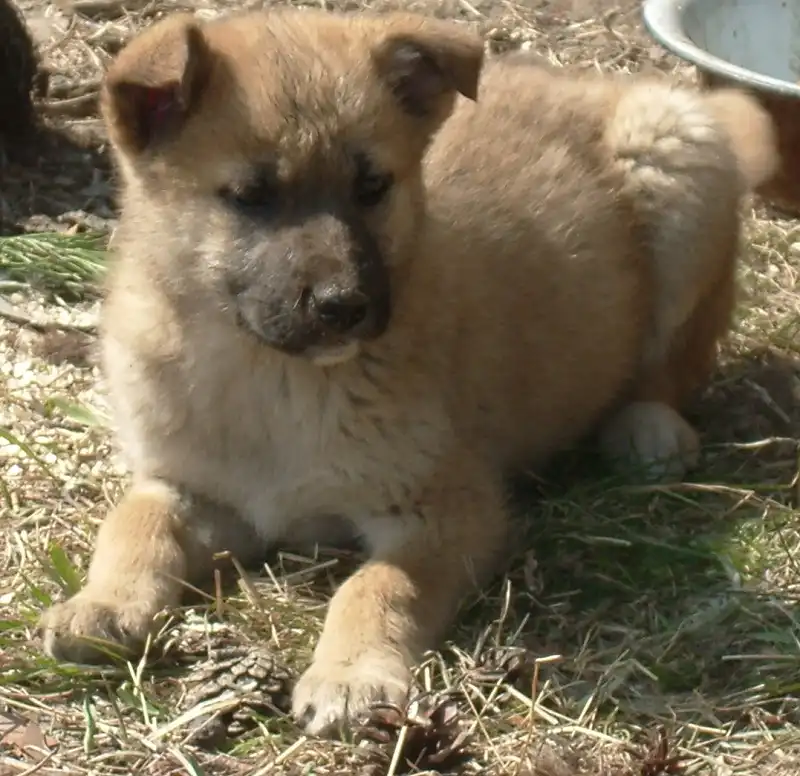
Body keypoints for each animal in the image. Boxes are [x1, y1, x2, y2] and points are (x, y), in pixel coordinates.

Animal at [37, 8, 777, 736]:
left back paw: (647, 431)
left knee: (673, 366)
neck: (269, 379)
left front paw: (351, 674)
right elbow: (132, 525)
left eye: (372, 187)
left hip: (678, 165)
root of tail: (591, 84)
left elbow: (376, 585)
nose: (344, 306)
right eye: (251, 196)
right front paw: (102, 603)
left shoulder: (449, 508)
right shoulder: (189, 488)